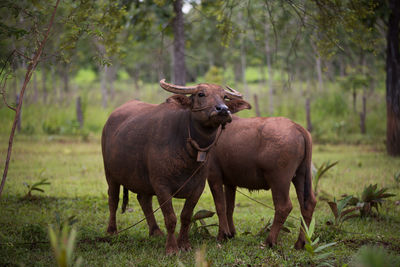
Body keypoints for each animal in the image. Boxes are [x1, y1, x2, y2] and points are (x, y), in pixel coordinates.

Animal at [208, 116, 318, 250]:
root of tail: (296, 126)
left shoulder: (213, 176)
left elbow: (220, 207)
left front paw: (222, 236)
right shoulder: (230, 183)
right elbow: (229, 208)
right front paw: (231, 234)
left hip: (278, 180)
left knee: (283, 206)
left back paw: (269, 241)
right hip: (302, 175)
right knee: (308, 204)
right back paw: (300, 243)